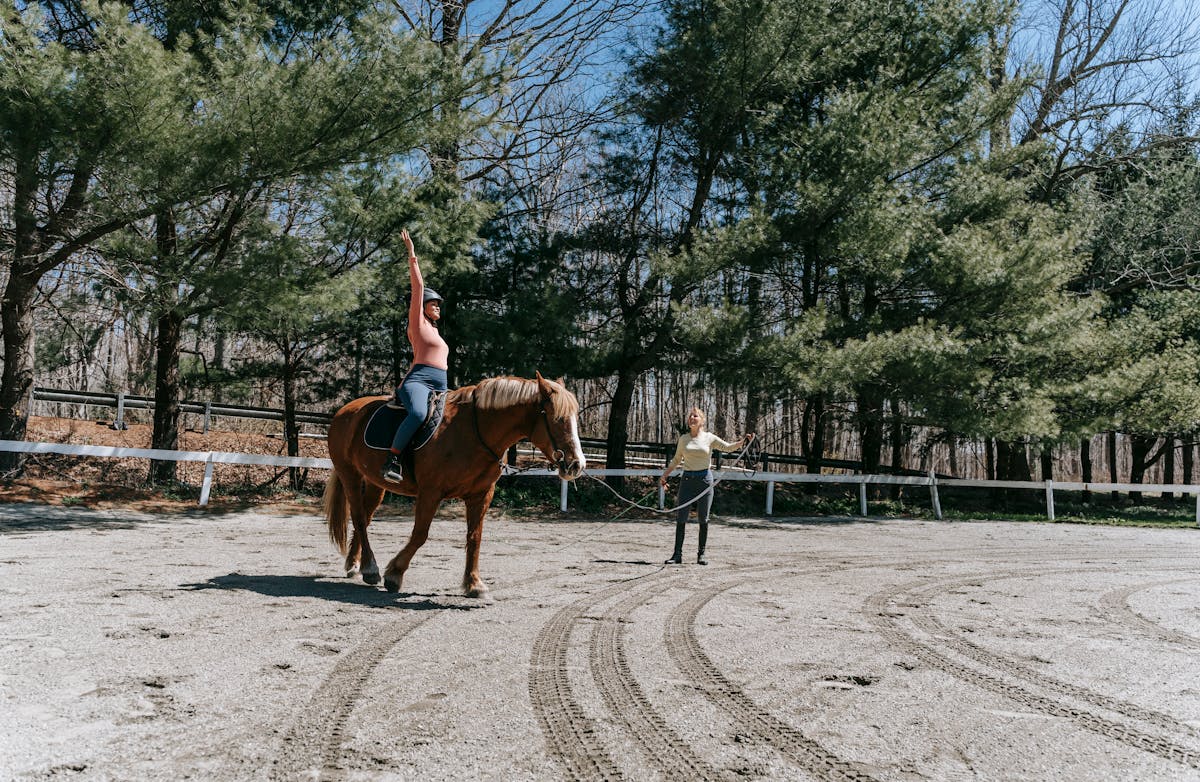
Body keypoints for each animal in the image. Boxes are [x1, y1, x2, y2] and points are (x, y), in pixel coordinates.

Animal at [322, 372, 586, 598]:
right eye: (558, 419)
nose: (577, 465)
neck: (475, 431)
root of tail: (346, 411)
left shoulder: (481, 495)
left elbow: (474, 537)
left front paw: (473, 583)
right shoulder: (431, 493)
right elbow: (420, 534)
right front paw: (395, 574)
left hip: (376, 483)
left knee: (365, 519)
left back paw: (356, 564)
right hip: (350, 475)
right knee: (358, 517)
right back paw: (370, 568)